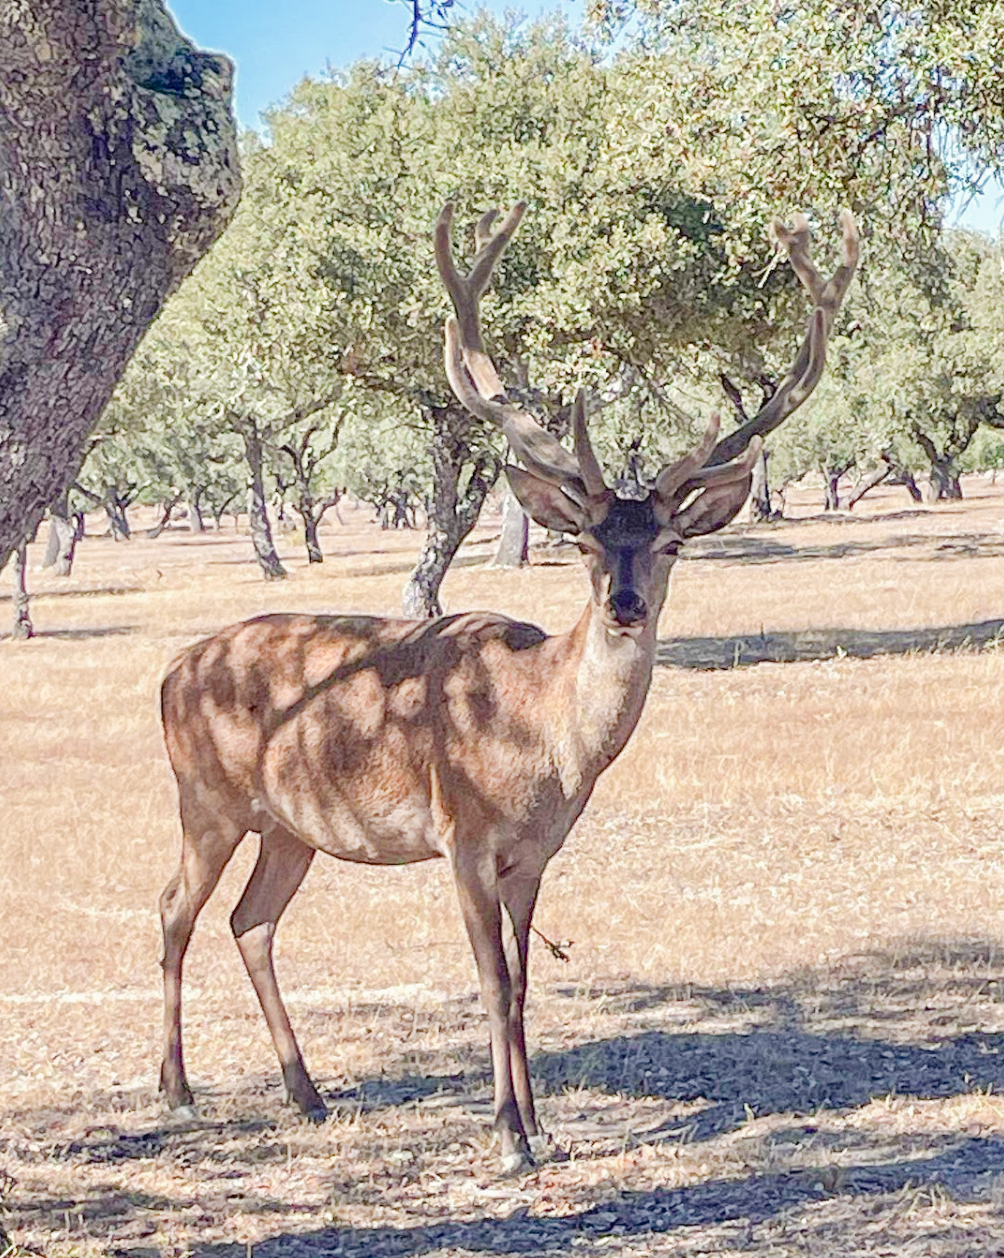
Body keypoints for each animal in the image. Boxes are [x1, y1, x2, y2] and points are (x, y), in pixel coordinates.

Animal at [161, 201, 860, 1172]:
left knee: (248, 921)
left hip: (290, 826)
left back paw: (308, 1096)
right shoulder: (461, 834)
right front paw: (505, 1138)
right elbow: (491, 982)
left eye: (670, 542)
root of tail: (169, 671)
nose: (626, 602)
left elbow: (528, 982)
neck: (539, 742)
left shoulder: (535, 853)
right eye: (586, 540)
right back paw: (179, 1091)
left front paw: (544, 1126)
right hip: (206, 799)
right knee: (174, 911)